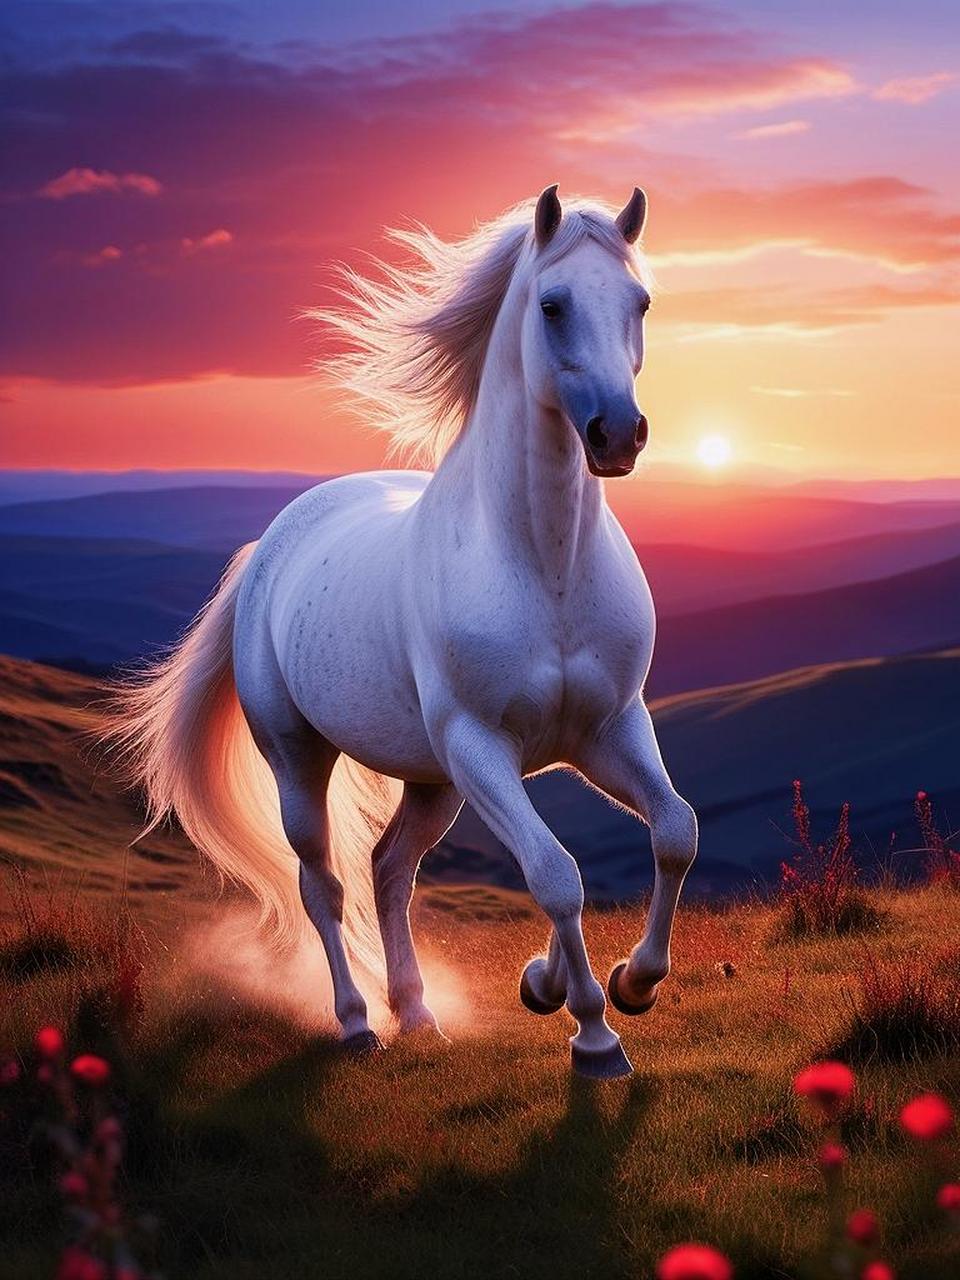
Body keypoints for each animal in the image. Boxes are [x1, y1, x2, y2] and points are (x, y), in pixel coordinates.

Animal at [108, 185, 698, 1079]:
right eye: (553, 305)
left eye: (641, 302)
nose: (617, 436)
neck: (545, 566)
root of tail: (270, 546)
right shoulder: (480, 746)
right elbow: (556, 873)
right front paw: (594, 1033)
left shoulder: (607, 730)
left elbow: (673, 833)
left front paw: (616, 983)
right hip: (302, 759)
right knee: (324, 885)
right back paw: (357, 1023)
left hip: (433, 783)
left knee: (389, 871)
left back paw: (418, 1013)